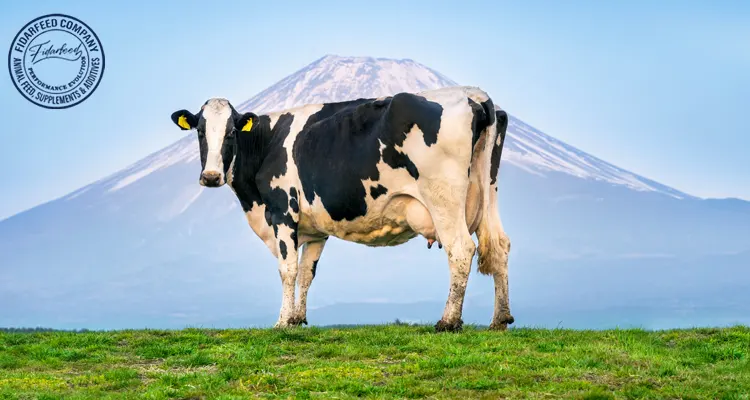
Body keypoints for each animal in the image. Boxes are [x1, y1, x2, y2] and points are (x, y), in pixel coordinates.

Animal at [170, 86, 512, 332]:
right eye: (200, 132)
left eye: (231, 132)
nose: (211, 177)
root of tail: (474, 95)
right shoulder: (315, 230)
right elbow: (307, 272)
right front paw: (297, 319)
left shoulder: (282, 211)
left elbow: (287, 269)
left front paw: (281, 322)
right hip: (489, 191)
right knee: (499, 245)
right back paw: (499, 320)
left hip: (443, 198)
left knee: (461, 249)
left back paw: (448, 321)